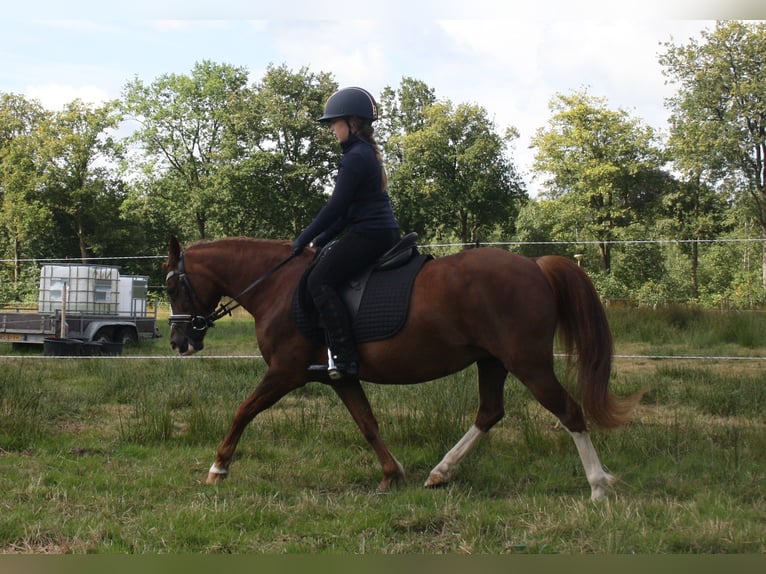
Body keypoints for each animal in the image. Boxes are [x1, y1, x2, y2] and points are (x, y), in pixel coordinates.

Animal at [165, 236, 644, 502]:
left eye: (172, 286)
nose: (178, 342)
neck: (278, 287)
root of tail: (535, 266)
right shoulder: (340, 376)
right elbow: (367, 423)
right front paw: (391, 474)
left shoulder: (286, 372)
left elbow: (243, 411)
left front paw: (218, 468)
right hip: (492, 361)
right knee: (489, 412)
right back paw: (441, 472)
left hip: (529, 363)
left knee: (569, 411)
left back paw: (598, 486)